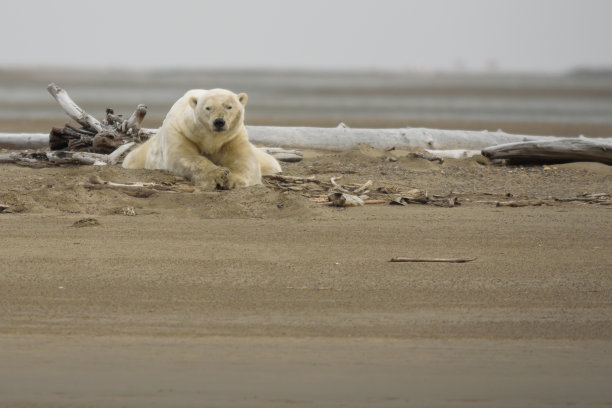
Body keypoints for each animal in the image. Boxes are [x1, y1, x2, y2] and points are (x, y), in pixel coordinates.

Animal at [122, 88, 284, 189]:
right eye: (208, 107)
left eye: (229, 106)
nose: (219, 122)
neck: (210, 137)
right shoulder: (181, 131)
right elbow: (186, 157)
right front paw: (218, 175)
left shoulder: (233, 137)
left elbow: (244, 162)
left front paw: (231, 180)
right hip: (141, 156)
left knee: (270, 162)